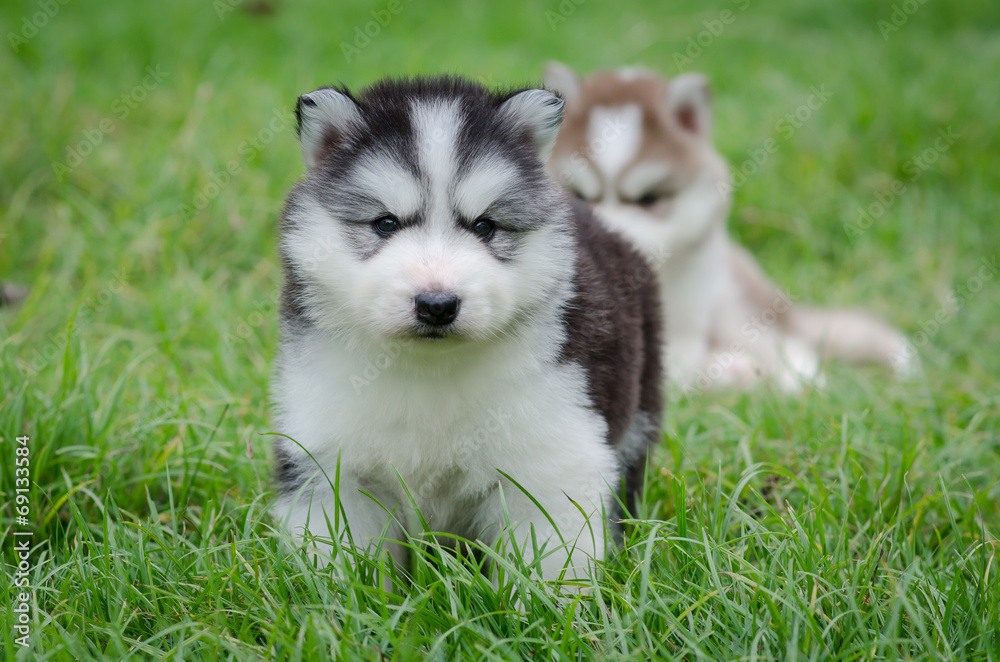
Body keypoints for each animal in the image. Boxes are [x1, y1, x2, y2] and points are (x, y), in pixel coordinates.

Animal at [272, 78, 664, 584]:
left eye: (485, 226)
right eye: (385, 223)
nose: (437, 305)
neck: (430, 371)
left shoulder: (550, 463)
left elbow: (550, 562)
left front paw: (550, 605)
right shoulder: (333, 465)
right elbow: (344, 558)